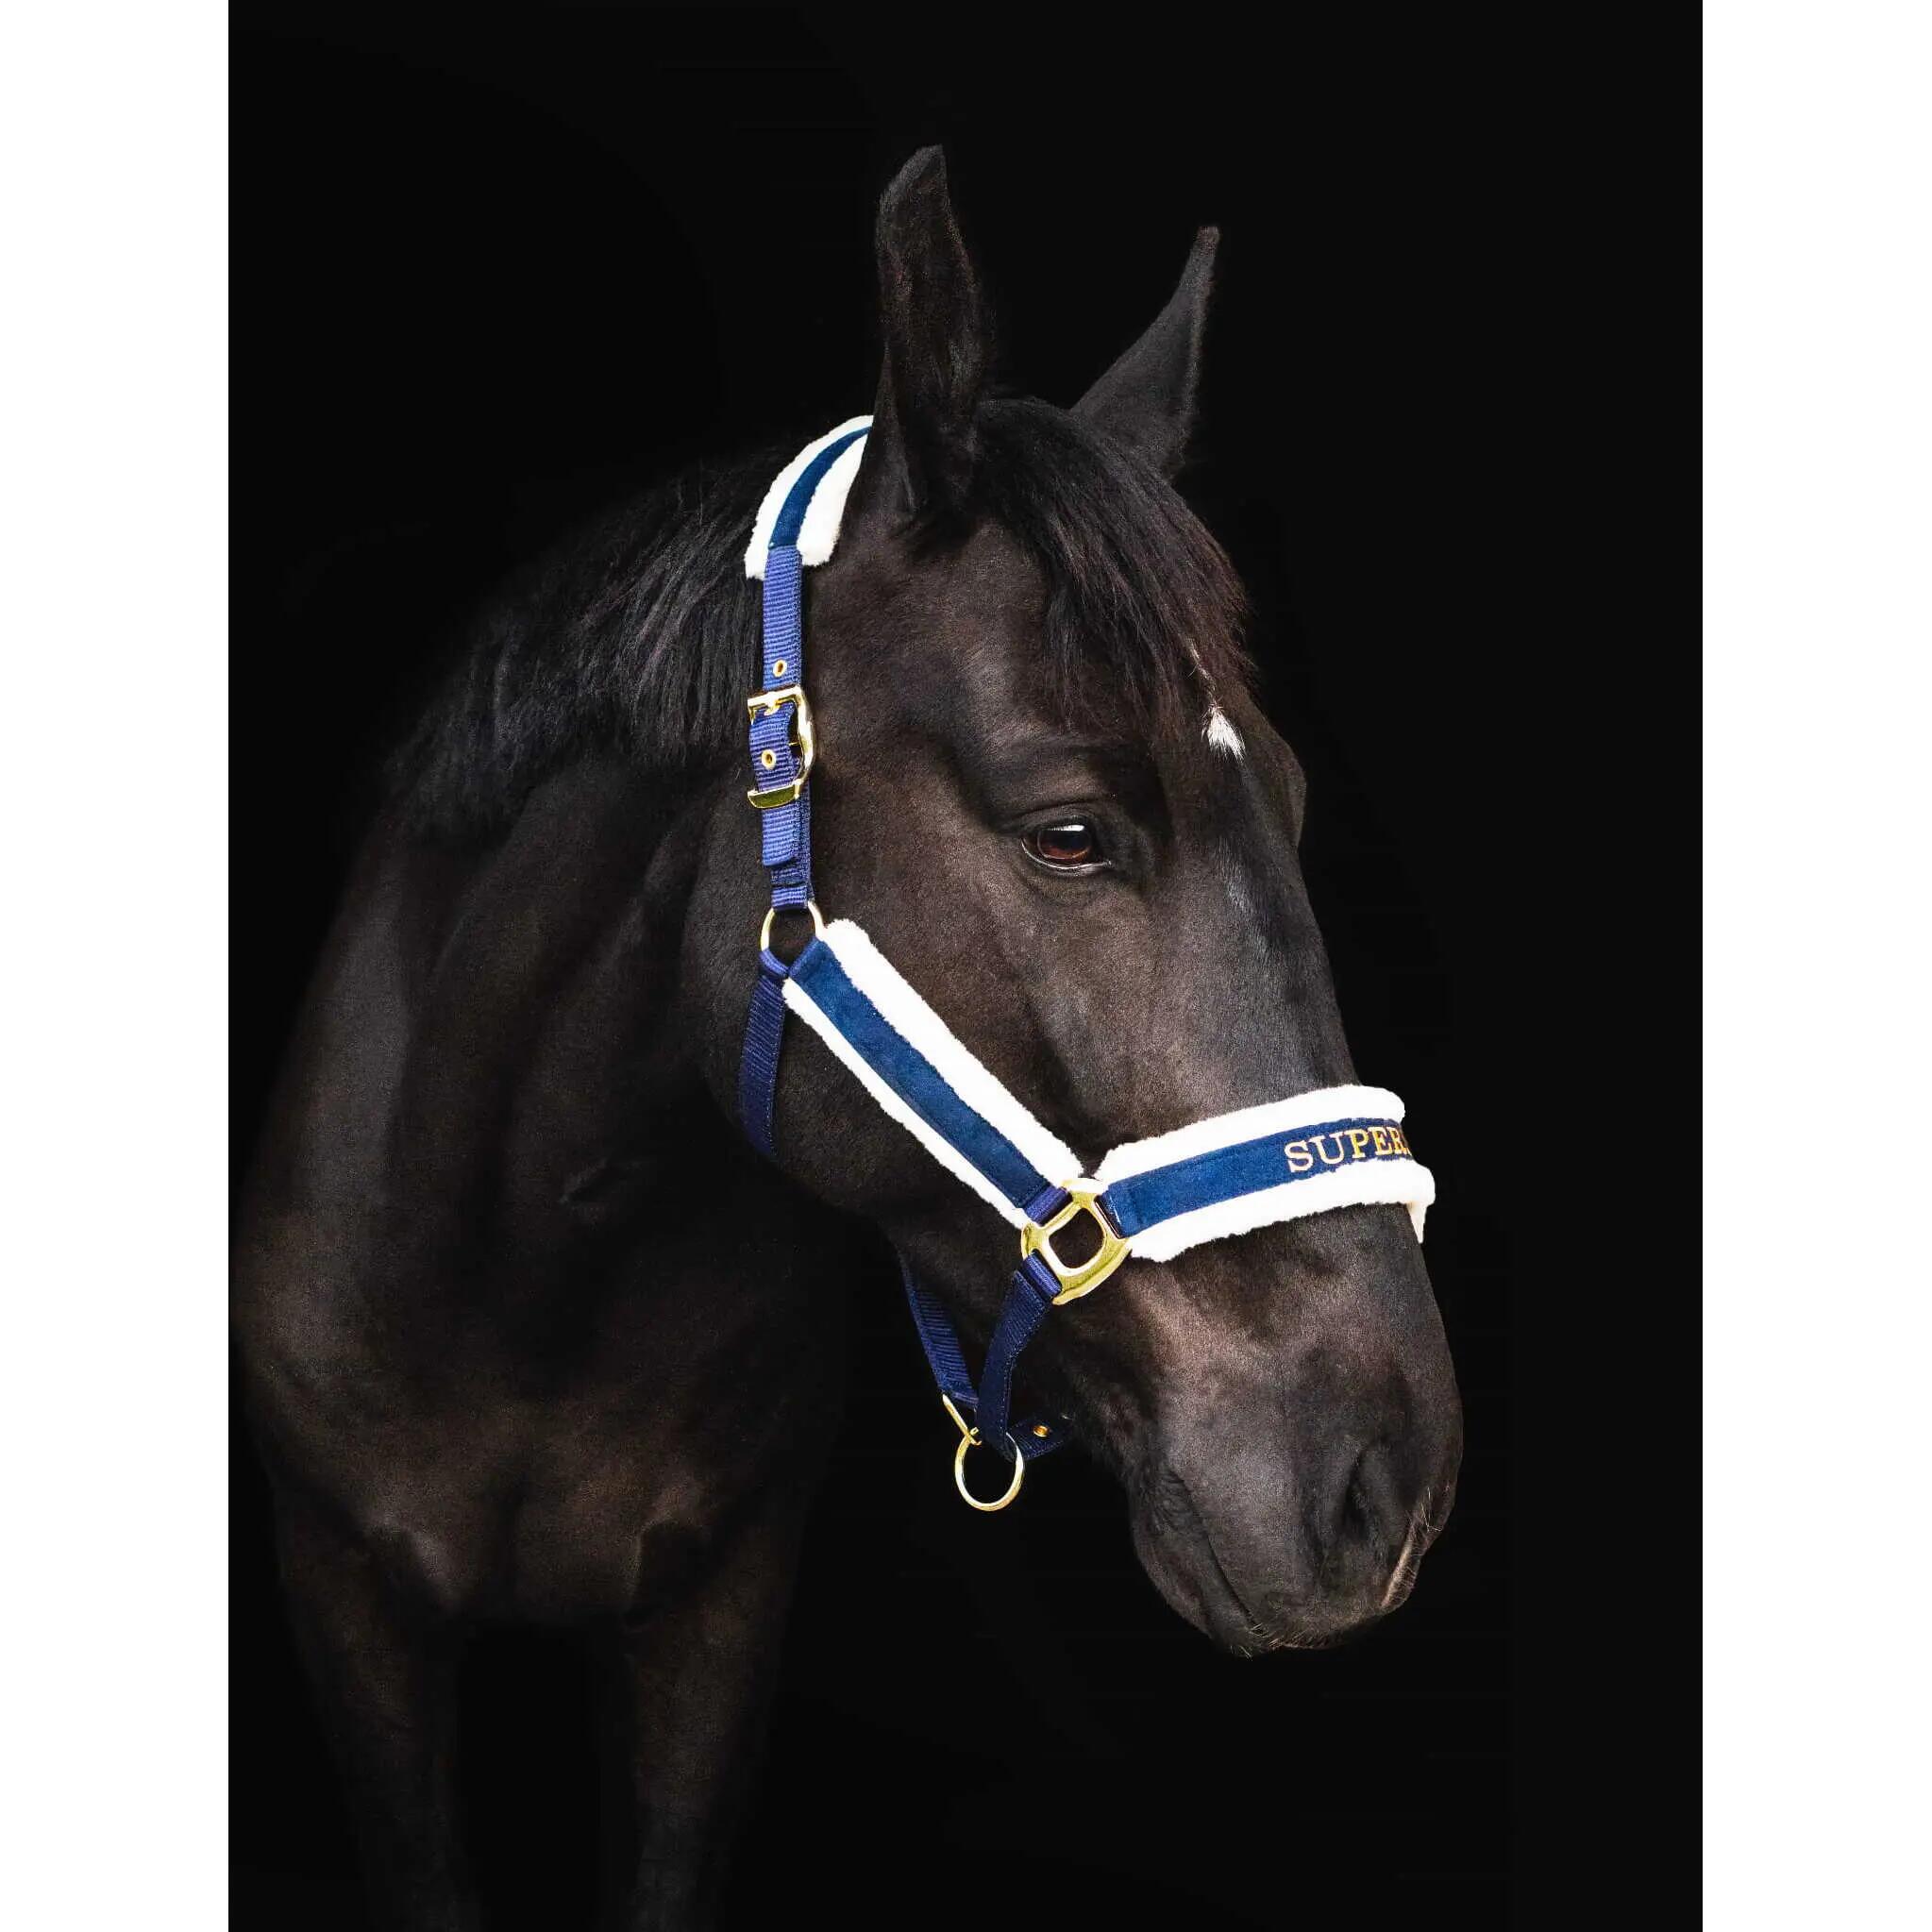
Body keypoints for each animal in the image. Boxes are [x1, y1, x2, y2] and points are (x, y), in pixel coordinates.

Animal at [234, 146, 1463, 1932]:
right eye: (1069, 832)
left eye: (1291, 803)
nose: (1385, 1483)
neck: (528, 1275)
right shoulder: (352, 1613)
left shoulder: (718, 1616)